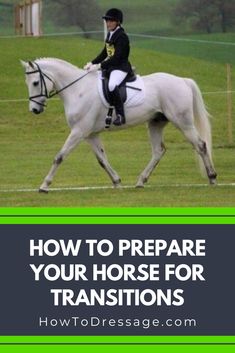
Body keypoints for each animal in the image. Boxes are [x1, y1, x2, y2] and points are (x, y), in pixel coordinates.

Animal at [20, 57, 217, 192]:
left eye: (36, 82)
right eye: (27, 83)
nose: (35, 110)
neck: (78, 90)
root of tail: (183, 80)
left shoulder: (79, 131)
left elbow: (59, 156)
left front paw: (44, 185)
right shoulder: (90, 134)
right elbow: (102, 159)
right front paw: (116, 181)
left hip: (183, 122)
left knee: (200, 145)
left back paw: (212, 177)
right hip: (155, 123)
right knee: (158, 151)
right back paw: (140, 181)